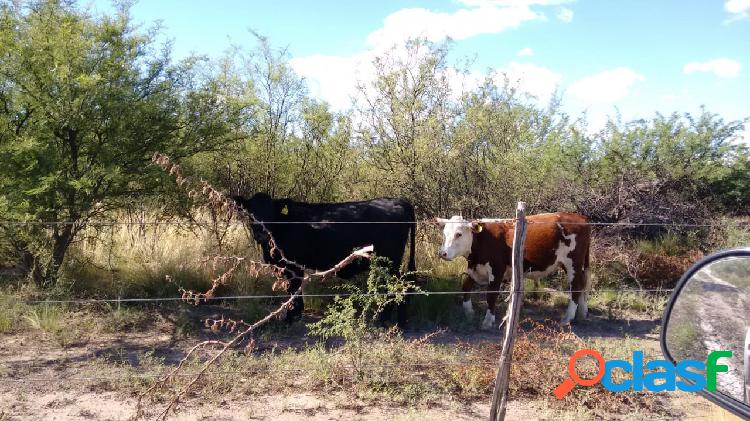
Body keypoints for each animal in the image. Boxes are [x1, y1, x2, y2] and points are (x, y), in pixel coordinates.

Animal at [231, 192, 418, 326]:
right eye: (250, 212)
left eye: (271, 213)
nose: (261, 233)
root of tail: (398, 200)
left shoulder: (293, 265)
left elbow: (293, 290)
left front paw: (291, 317)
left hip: (389, 261)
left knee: (397, 285)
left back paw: (386, 321)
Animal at [434, 213, 592, 328]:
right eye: (444, 233)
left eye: (459, 234)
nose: (443, 253)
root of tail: (580, 217)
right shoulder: (475, 269)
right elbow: (466, 287)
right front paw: (469, 312)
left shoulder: (497, 270)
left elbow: (491, 295)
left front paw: (488, 321)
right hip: (576, 264)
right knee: (583, 284)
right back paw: (582, 313)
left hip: (572, 262)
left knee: (576, 286)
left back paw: (567, 318)